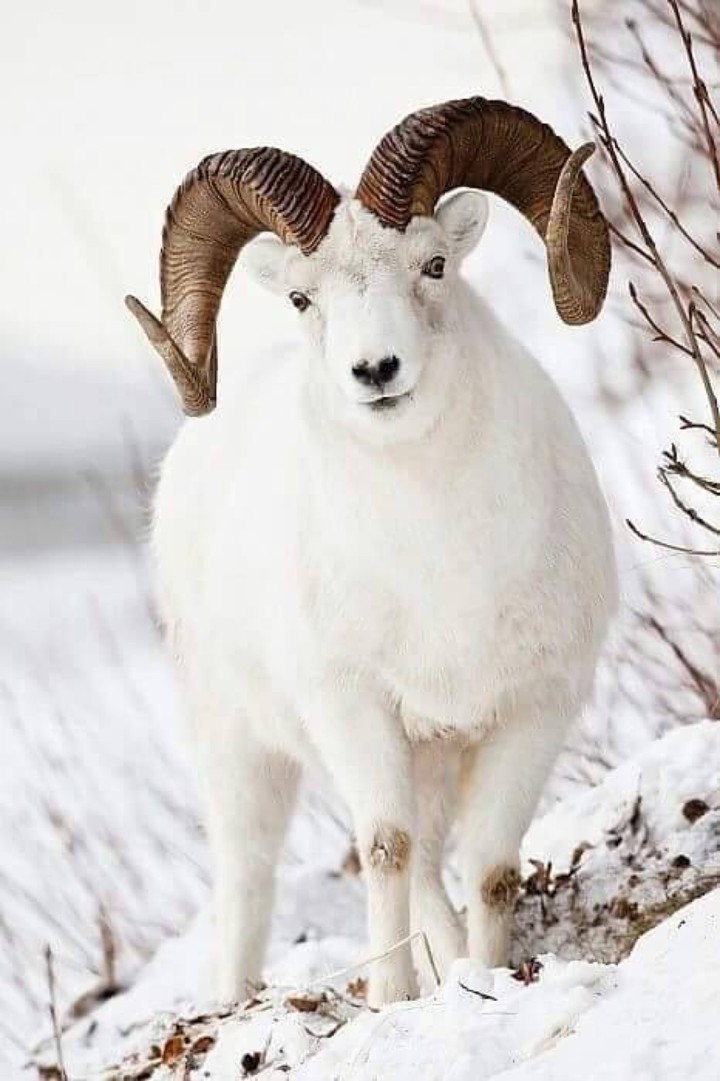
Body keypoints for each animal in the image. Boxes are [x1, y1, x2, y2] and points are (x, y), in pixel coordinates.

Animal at [127, 97, 618, 1008]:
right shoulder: (355, 711)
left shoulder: (532, 711)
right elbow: (385, 849)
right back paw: (240, 995)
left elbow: (490, 868)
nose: (376, 369)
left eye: (434, 265)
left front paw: (489, 976)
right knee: (256, 875)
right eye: (300, 296)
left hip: (427, 756)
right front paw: (392, 1000)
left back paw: (453, 964)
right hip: (245, 748)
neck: (442, 569)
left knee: (431, 865)